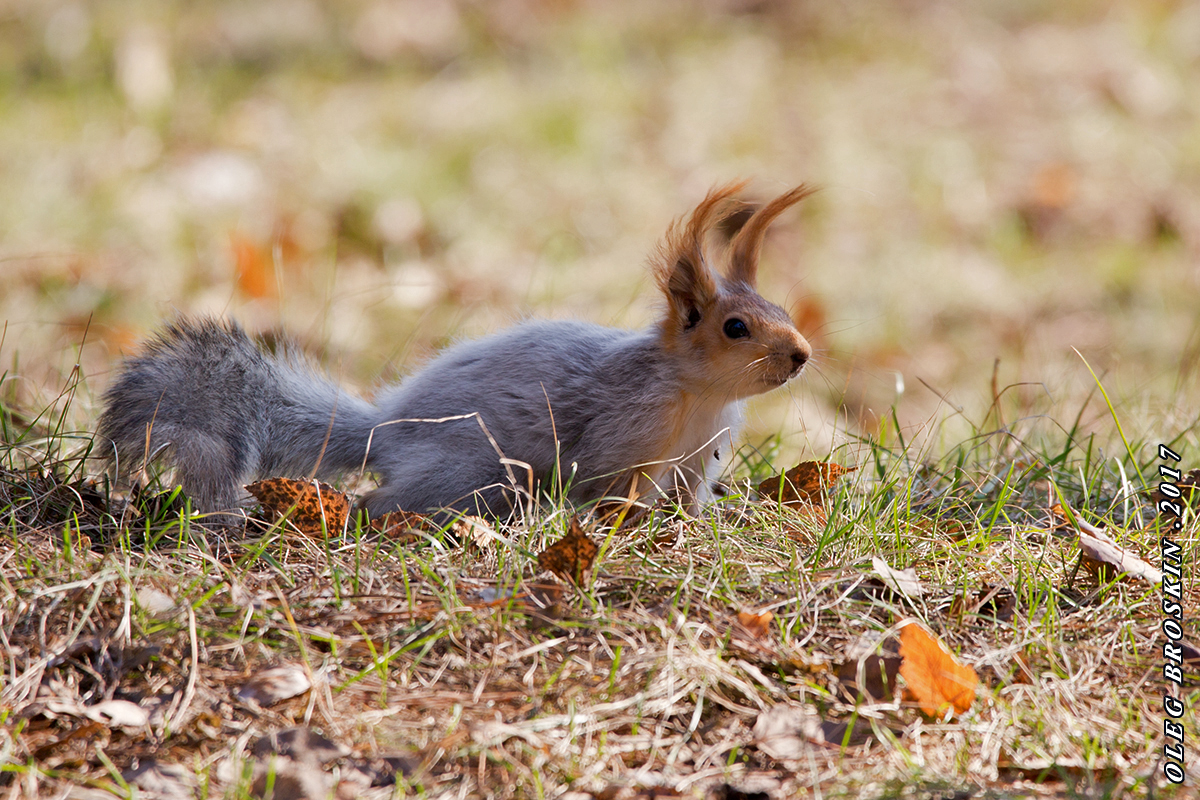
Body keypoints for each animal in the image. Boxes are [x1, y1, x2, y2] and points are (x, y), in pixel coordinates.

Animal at [96, 181, 816, 520]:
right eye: (735, 328)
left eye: (781, 311)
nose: (802, 355)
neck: (698, 395)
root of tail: (384, 433)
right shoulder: (626, 431)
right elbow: (614, 485)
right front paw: (626, 520)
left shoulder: (699, 454)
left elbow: (688, 498)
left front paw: (699, 523)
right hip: (475, 471)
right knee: (384, 503)